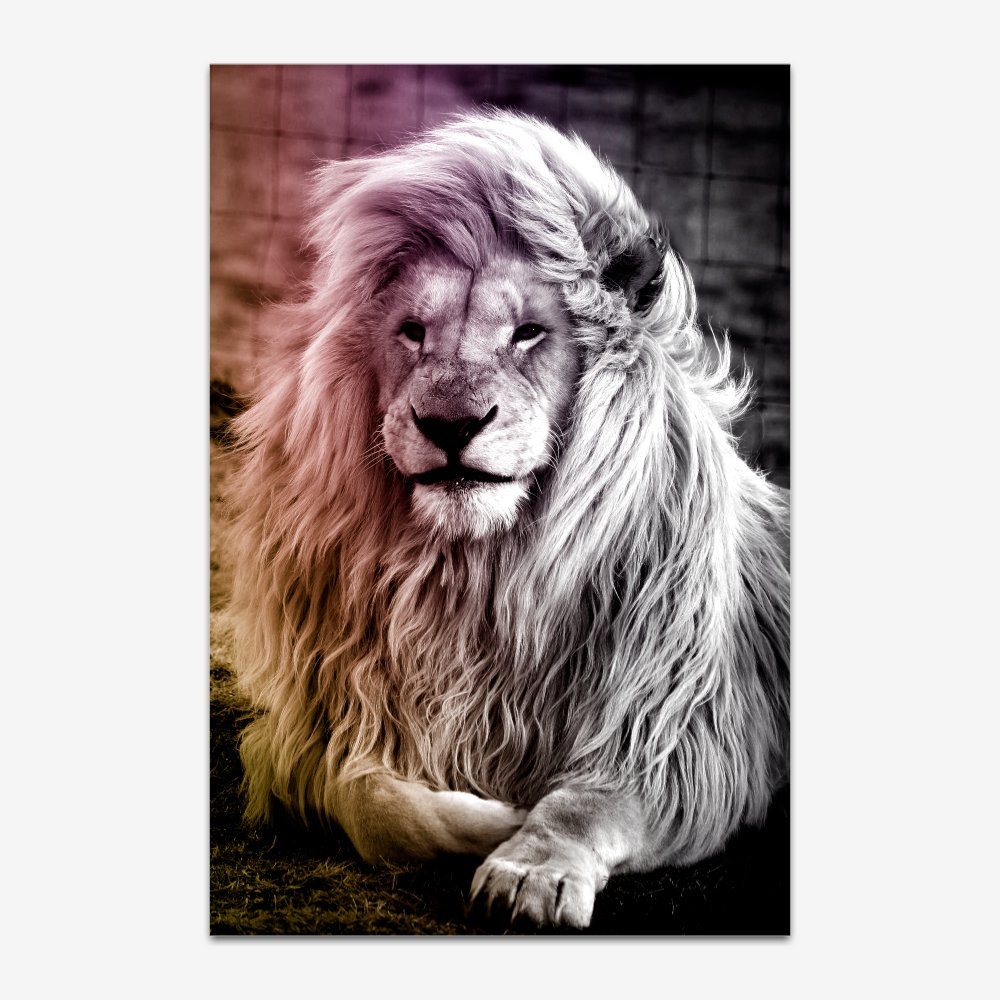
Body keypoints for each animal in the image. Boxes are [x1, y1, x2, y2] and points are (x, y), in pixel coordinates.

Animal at [225, 110, 790, 930]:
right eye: (413, 331)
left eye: (527, 332)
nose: (450, 424)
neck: (478, 576)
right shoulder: (324, 729)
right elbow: (372, 801)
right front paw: (493, 819)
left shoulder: (681, 739)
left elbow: (583, 804)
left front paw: (530, 867)